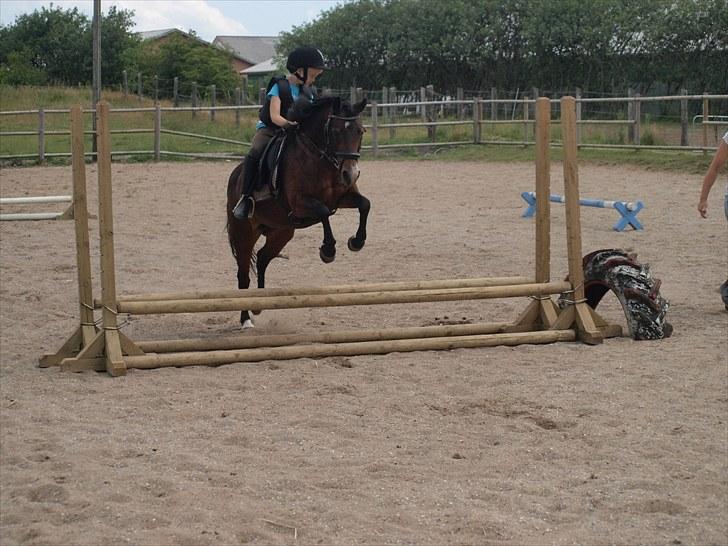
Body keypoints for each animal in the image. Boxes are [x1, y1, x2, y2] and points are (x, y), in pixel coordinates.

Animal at [225, 95, 370, 328]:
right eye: (335, 131)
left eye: (360, 131)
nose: (350, 174)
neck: (320, 158)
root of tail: (234, 176)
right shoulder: (300, 204)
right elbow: (324, 212)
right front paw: (328, 250)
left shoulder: (343, 197)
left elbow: (365, 204)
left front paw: (356, 241)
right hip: (244, 233)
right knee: (243, 274)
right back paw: (246, 319)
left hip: (281, 232)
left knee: (263, 258)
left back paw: (259, 305)